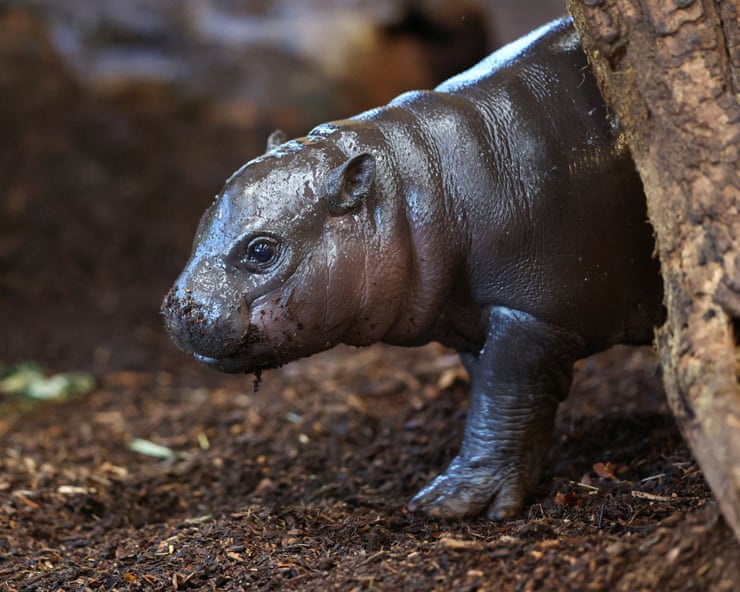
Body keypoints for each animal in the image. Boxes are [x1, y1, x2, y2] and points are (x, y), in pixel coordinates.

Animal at [162, 17, 664, 520]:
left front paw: (447, 503)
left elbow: (505, 395)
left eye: (262, 250)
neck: (420, 185)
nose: (178, 309)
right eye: (201, 225)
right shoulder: (471, 319)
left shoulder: (533, 314)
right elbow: (499, 397)